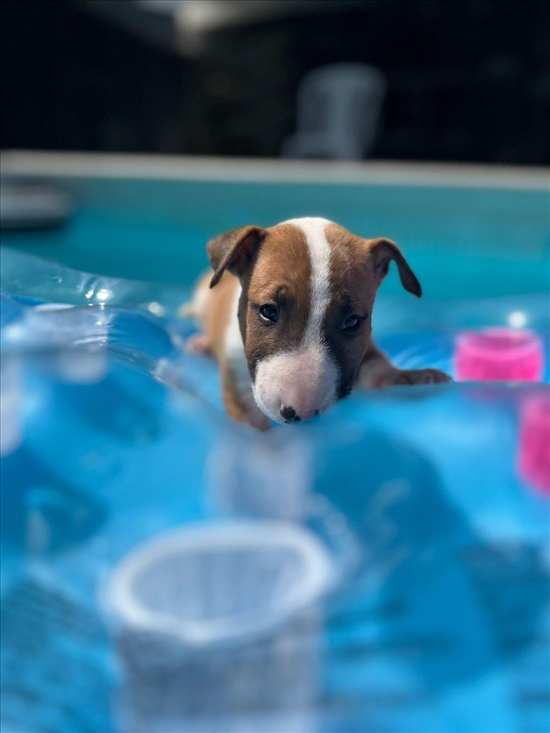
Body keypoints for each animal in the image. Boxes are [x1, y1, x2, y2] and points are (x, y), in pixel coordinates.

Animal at [185, 214, 452, 428]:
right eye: (268, 311)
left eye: (352, 321)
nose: (299, 413)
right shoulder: (237, 392)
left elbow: (378, 366)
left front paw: (411, 377)